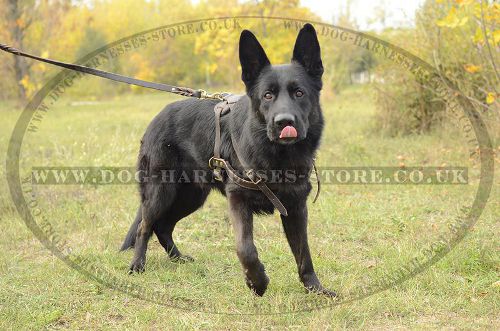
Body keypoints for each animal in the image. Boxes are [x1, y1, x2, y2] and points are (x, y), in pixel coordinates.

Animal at [119, 23, 334, 298]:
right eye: (267, 95)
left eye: (299, 93)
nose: (284, 122)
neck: (275, 157)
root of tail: (156, 118)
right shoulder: (238, 200)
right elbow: (245, 248)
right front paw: (257, 282)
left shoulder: (296, 208)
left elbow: (304, 253)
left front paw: (315, 288)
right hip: (161, 193)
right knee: (145, 226)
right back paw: (137, 265)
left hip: (190, 197)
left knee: (163, 226)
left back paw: (177, 258)